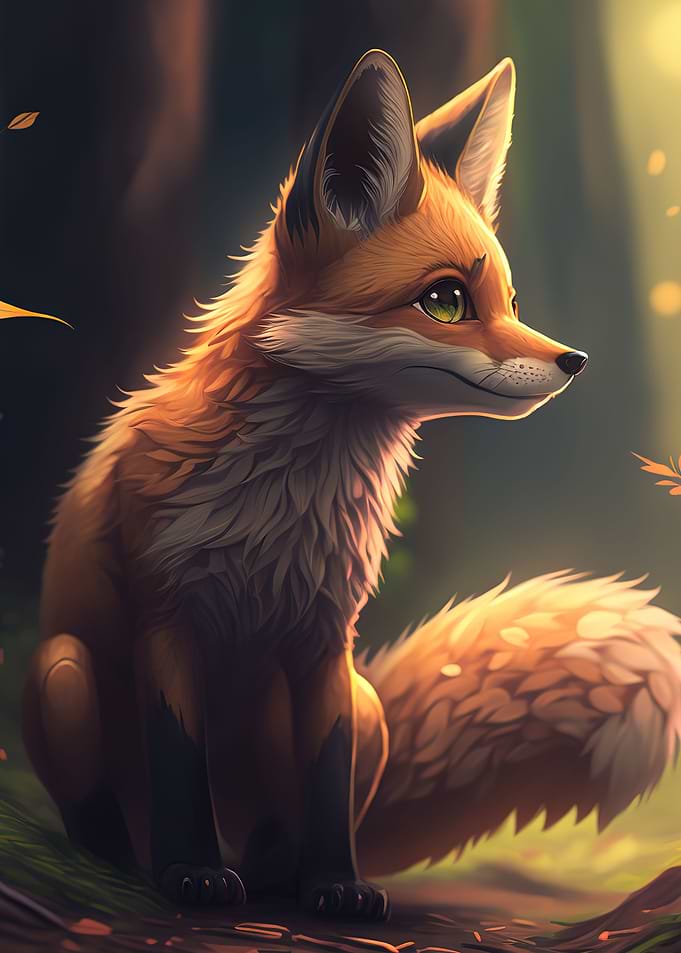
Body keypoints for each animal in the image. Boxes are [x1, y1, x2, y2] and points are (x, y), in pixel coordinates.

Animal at [22, 50, 681, 921]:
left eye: (510, 301)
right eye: (446, 300)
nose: (573, 361)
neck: (279, 515)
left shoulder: (328, 639)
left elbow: (328, 782)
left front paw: (335, 882)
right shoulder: (167, 621)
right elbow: (178, 763)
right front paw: (190, 871)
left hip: (364, 705)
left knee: (292, 827)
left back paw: (280, 873)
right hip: (61, 669)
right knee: (101, 803)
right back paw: (126, 856)